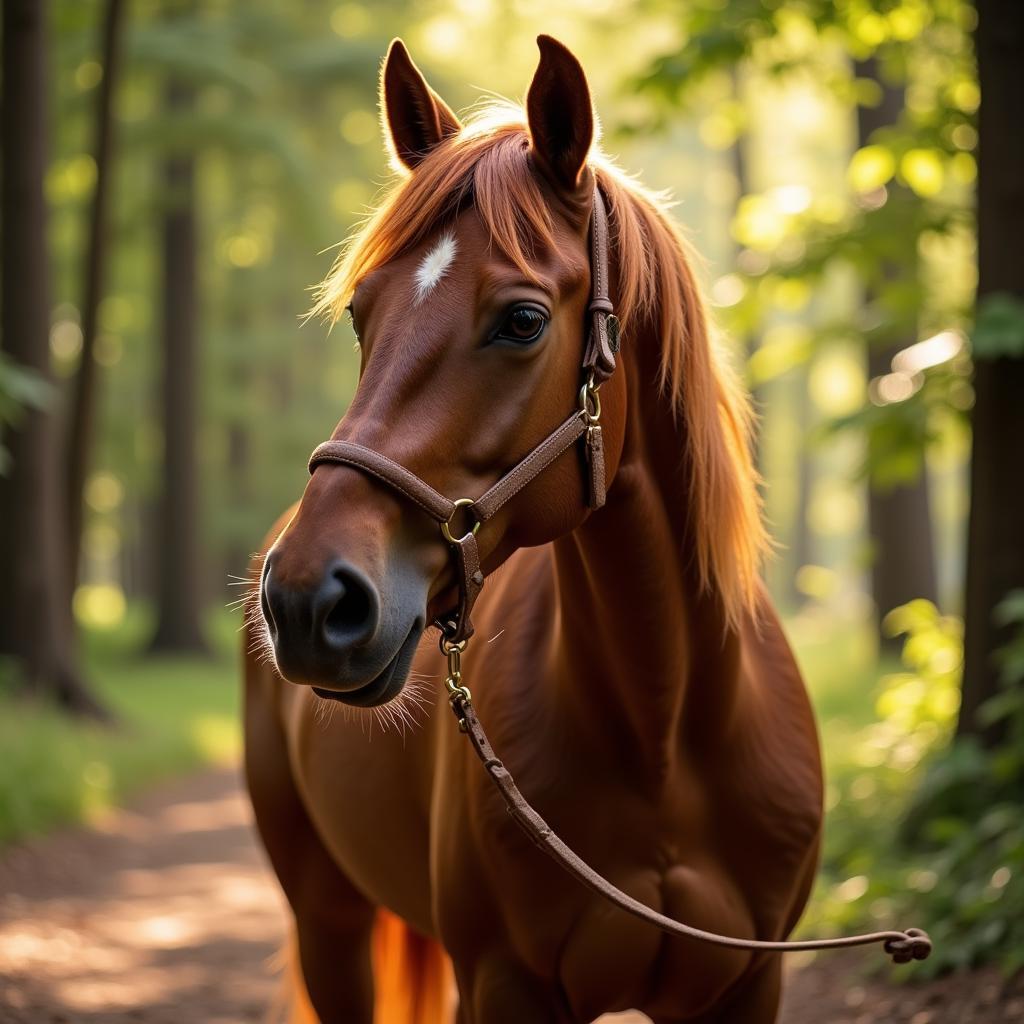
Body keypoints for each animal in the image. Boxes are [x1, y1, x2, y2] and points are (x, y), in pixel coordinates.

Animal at [245, 34, 823, 1024]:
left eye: (521, 320)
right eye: (361, 315)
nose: (306, 601)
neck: (664, 738)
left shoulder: (751, 983)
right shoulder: (504, 983)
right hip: (329, 922)